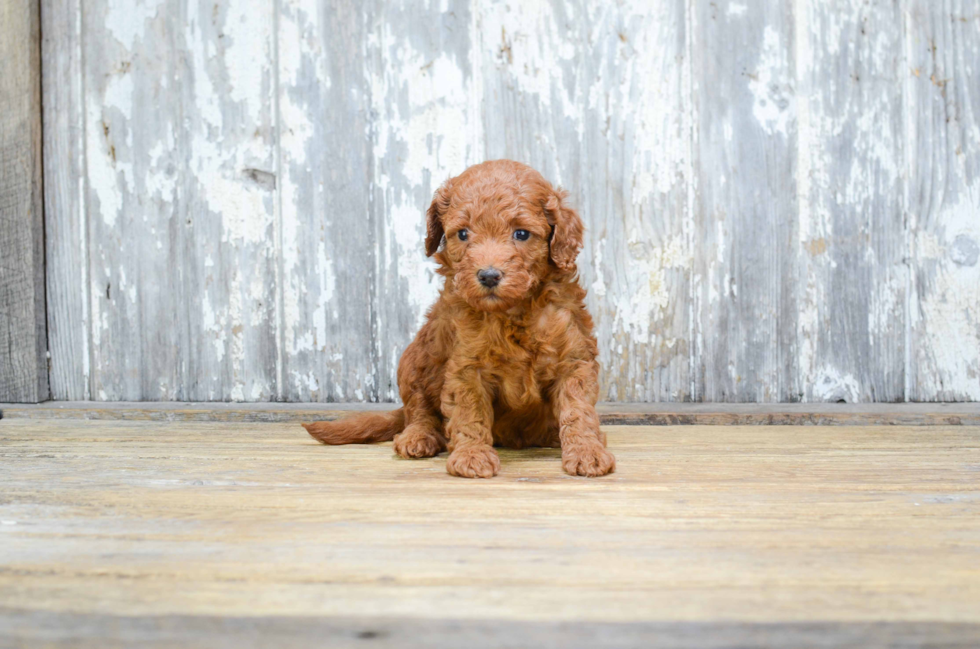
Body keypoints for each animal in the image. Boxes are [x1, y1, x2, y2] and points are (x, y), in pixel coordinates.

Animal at [302, 159, 616, 478]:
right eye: (463, 234)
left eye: (521, 234)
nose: (488, 275)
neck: (511, 312)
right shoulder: (465, 365)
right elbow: (470, 412)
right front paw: (472, 456)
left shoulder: (573, 359)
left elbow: (578, 411)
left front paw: (587, 451)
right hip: (415, 360)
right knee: (418, 409)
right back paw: (418, 437)